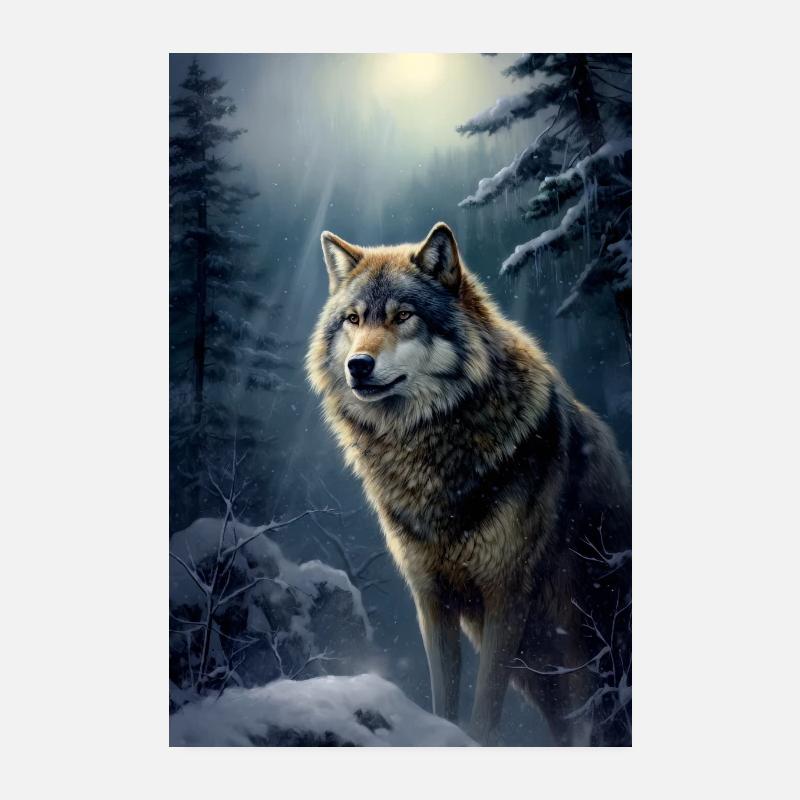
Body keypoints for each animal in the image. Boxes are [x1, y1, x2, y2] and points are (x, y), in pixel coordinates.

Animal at [307, 222, 631, 746]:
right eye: (353, 319)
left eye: (403, 316)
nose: (358, 365)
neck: (428, 447)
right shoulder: (431, 598)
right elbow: (445, 698)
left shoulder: (506, 595)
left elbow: (484, 712)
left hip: (586, 649)